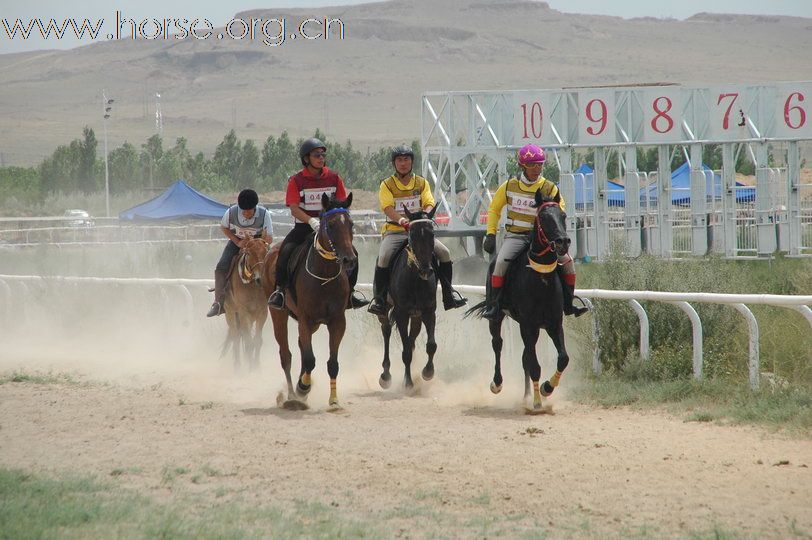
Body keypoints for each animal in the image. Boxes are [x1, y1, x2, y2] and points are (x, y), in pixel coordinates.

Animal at [220, 238, 272, 374]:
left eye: (266, 251)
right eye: (249, 253)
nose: (260, 279)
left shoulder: (262, 312)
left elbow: (257, 340)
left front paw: (256, 366)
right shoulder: (243, 312)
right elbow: (247, 340)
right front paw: (250, 366)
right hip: (231, 313)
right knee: (236, 336)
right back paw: (237, 366)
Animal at [264, 194, 356, 410]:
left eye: (351, 224)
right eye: (331, 225)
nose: (349, 259)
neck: (325, 274)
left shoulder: (337, 321)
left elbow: (332, 363)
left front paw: (334, 400)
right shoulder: (305, 319)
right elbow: (310, 359)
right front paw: (302, 388)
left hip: (313, 324)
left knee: (300, 346)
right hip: (279, 314)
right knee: (286, 355)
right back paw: (292, 395)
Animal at [378, 206, 440, 388]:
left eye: (432, 234)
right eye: (412, 235)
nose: (426, 271)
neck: (415, 279)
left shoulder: (429, 311)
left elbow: (431, 345)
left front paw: (428, 372)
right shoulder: (401, 314)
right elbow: (405, 352)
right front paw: (408, 383)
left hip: (417, 316)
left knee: (412, 337)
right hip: (385, 310)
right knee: (386, 331)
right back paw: (385, 375)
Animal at [466, 192, 576, 412]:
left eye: (563, 215)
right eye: (543, 217)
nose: (563, 242)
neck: (541, 278)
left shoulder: (554, 323)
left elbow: (563, 358)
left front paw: (546, 388)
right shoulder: (528, 325)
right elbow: (534, 365)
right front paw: (537, 402)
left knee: (525, 356)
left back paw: (526, 395)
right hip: (497, 317)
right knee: (498, 344)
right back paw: (497, 384)